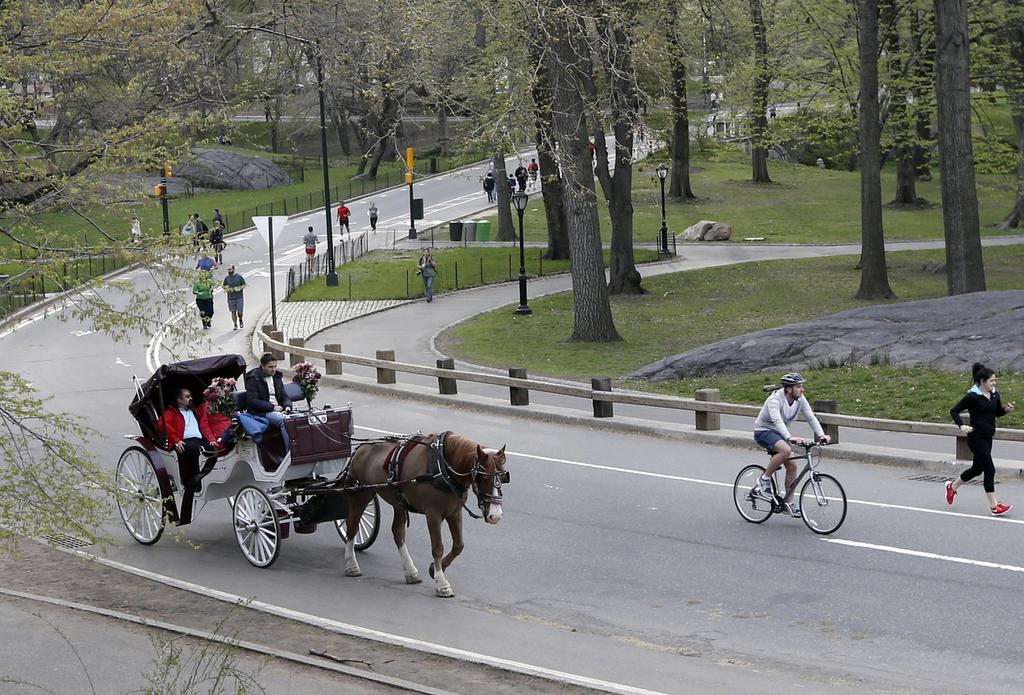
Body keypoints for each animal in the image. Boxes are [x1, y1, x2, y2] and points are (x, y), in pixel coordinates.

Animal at [342, 429, 505, 597]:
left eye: (504, 476)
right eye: (483, 478)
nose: (495, 515)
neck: (443, 468)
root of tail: (361, 448)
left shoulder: (454, 513)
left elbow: (459, 545)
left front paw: (436, 568)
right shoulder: (433, 515)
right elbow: (438, 548)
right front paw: (442, 583)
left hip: (398, 502)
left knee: (398, 532)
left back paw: (410, 571)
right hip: (362, 494)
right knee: (352, 526)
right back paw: (351, 565)